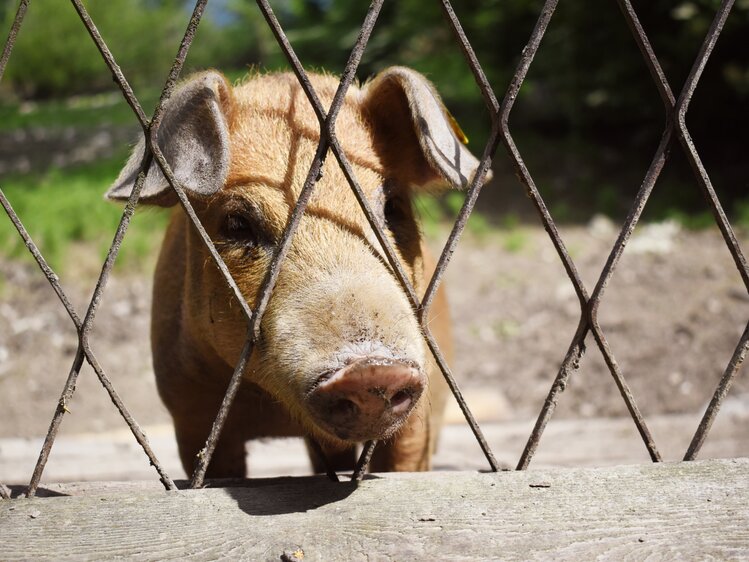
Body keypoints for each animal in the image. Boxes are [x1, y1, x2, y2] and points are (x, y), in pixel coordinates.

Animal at [108, 66, 488, 476]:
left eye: (392, 208)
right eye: (237, 224)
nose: (371, 370)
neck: (276, 414)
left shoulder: (421, 411)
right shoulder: (188, 406)